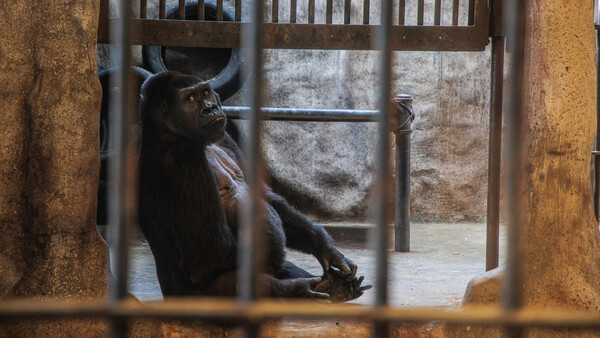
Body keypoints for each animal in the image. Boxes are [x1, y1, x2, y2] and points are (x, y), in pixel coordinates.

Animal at [139, 72, 370, 302]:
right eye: (190, 99)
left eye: (204, 92)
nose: (209, 108)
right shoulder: (183, 157)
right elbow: (210, 246)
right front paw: (297, 287)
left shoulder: (224, 138)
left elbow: (265, 194)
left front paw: (325, 248)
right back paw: (296, 290)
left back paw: (334, 287)